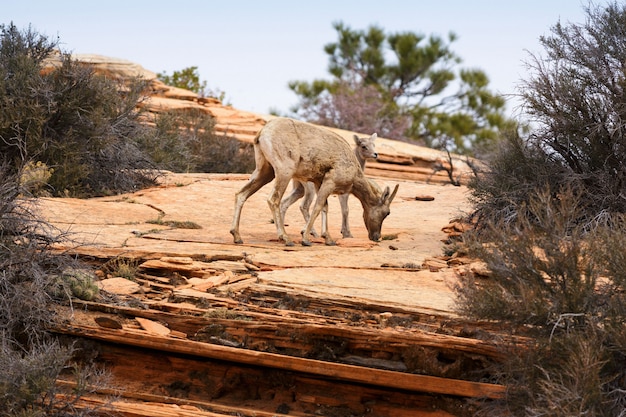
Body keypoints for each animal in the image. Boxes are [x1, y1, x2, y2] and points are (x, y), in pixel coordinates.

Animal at [228, 117, 394, 245]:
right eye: (387, 213)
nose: (376, 237)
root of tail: (262, 133)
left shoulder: (320, 183)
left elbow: (325, 207)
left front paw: (328, 239)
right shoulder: (330, 182)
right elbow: (318, 207)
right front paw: (306, 239)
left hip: (265, 172)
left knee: (241, 194)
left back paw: (237, 237)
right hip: (284, 172)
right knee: (274, 200)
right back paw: (286, 239)